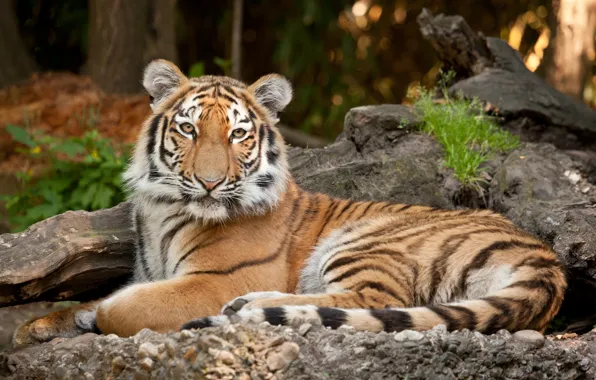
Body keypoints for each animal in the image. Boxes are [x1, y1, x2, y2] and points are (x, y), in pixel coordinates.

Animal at [11, 58, 564, 346]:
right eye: (189, 129)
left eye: (237, 135)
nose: (210, 183)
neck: (163, 208)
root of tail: (546, 259)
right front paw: (35, 328)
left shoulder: (214, 280)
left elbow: (122, 306)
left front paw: (93, 316)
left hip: (366, 242)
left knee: (370, 302)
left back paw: (251, 308)